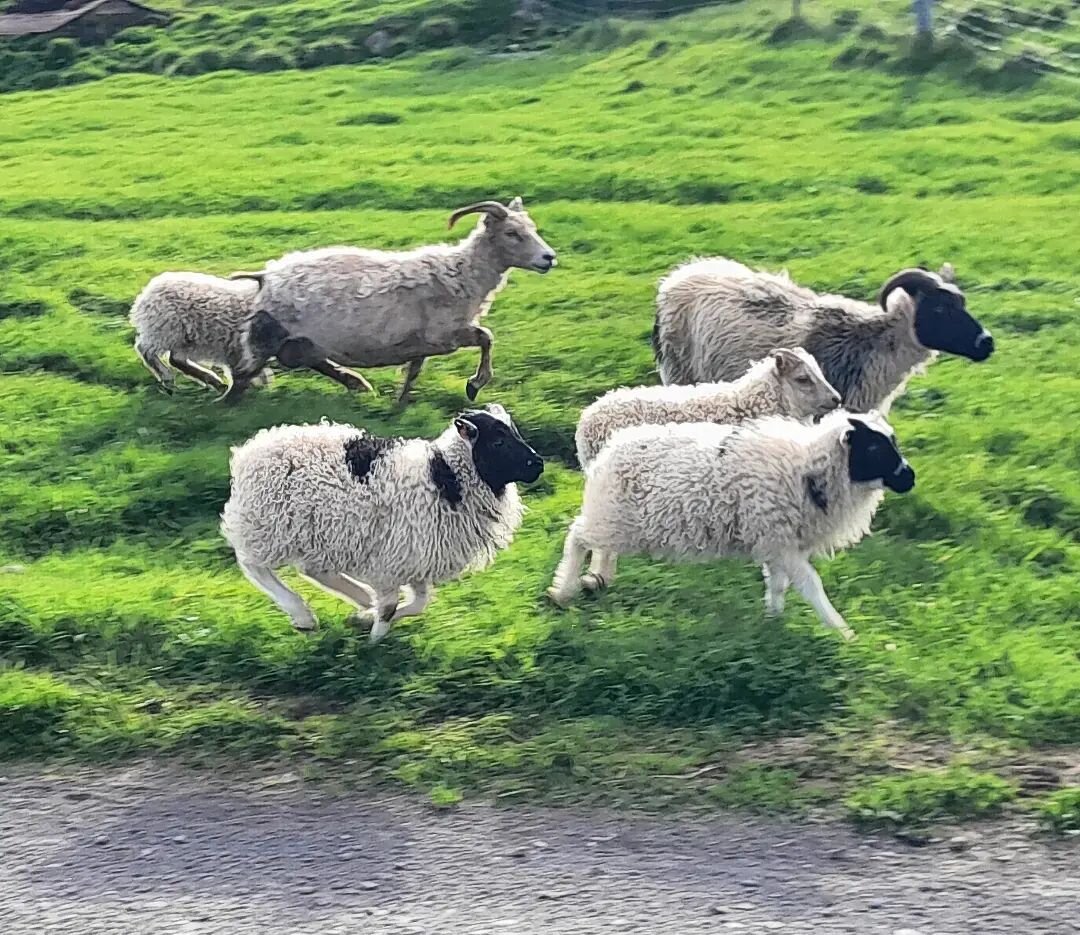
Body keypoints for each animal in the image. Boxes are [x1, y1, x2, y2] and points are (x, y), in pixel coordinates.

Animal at [220, 401, 544, 639]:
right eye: (498, 441)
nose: (538, 464)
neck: (448, 477)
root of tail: (247, 453)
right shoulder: (390, 562)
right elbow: (390, 606)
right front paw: (374, 640)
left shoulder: (414, 561)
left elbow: (418, 603)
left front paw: (364, 619)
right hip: (271, 527)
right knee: (254, 567)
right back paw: (303, 615)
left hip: (318, 533)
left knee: (314, 570)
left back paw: (360, 599)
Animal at [221, 196, 557, 403]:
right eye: (512, 233)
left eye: (532, 229)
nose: (549, 258)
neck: (462, 272)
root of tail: (266, 276)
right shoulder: (445, 333)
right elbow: (487, 337)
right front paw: (474, 385)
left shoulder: (424, 342)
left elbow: (415, 369)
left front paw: (401, 401)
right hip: (269, 335)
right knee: (243, 376)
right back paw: (225, 404)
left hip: (298, 340)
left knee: (304, 359)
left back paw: (356, 383)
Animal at [548, 408, 911, 639]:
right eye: (875, 447)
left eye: (892, 441)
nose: (910, 477)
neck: (808, 469)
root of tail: (609, 451)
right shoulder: (780, 542)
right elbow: (811, 585)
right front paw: (843, 631)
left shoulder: (777, 542)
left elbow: (778, 584)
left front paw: (773, 621)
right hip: (611, 515)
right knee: (577, 537)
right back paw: (563, 590)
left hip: (616, 516)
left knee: (602, 547)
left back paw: (598, 578)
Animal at [648, 259, 993, 412]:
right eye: (939, 309)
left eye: (962, 302)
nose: (987, 342)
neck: (871, 343)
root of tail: (676, 276)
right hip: (679, 370)